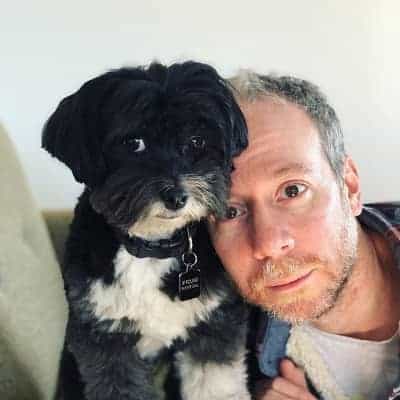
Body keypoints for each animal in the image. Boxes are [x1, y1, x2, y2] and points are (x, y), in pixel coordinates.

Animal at [42, 61, 252, 400]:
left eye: (196, 141)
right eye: (134, 143)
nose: (177, 197)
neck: (151, 247)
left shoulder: (214, 326)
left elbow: (215, 384)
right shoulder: (103, 338)